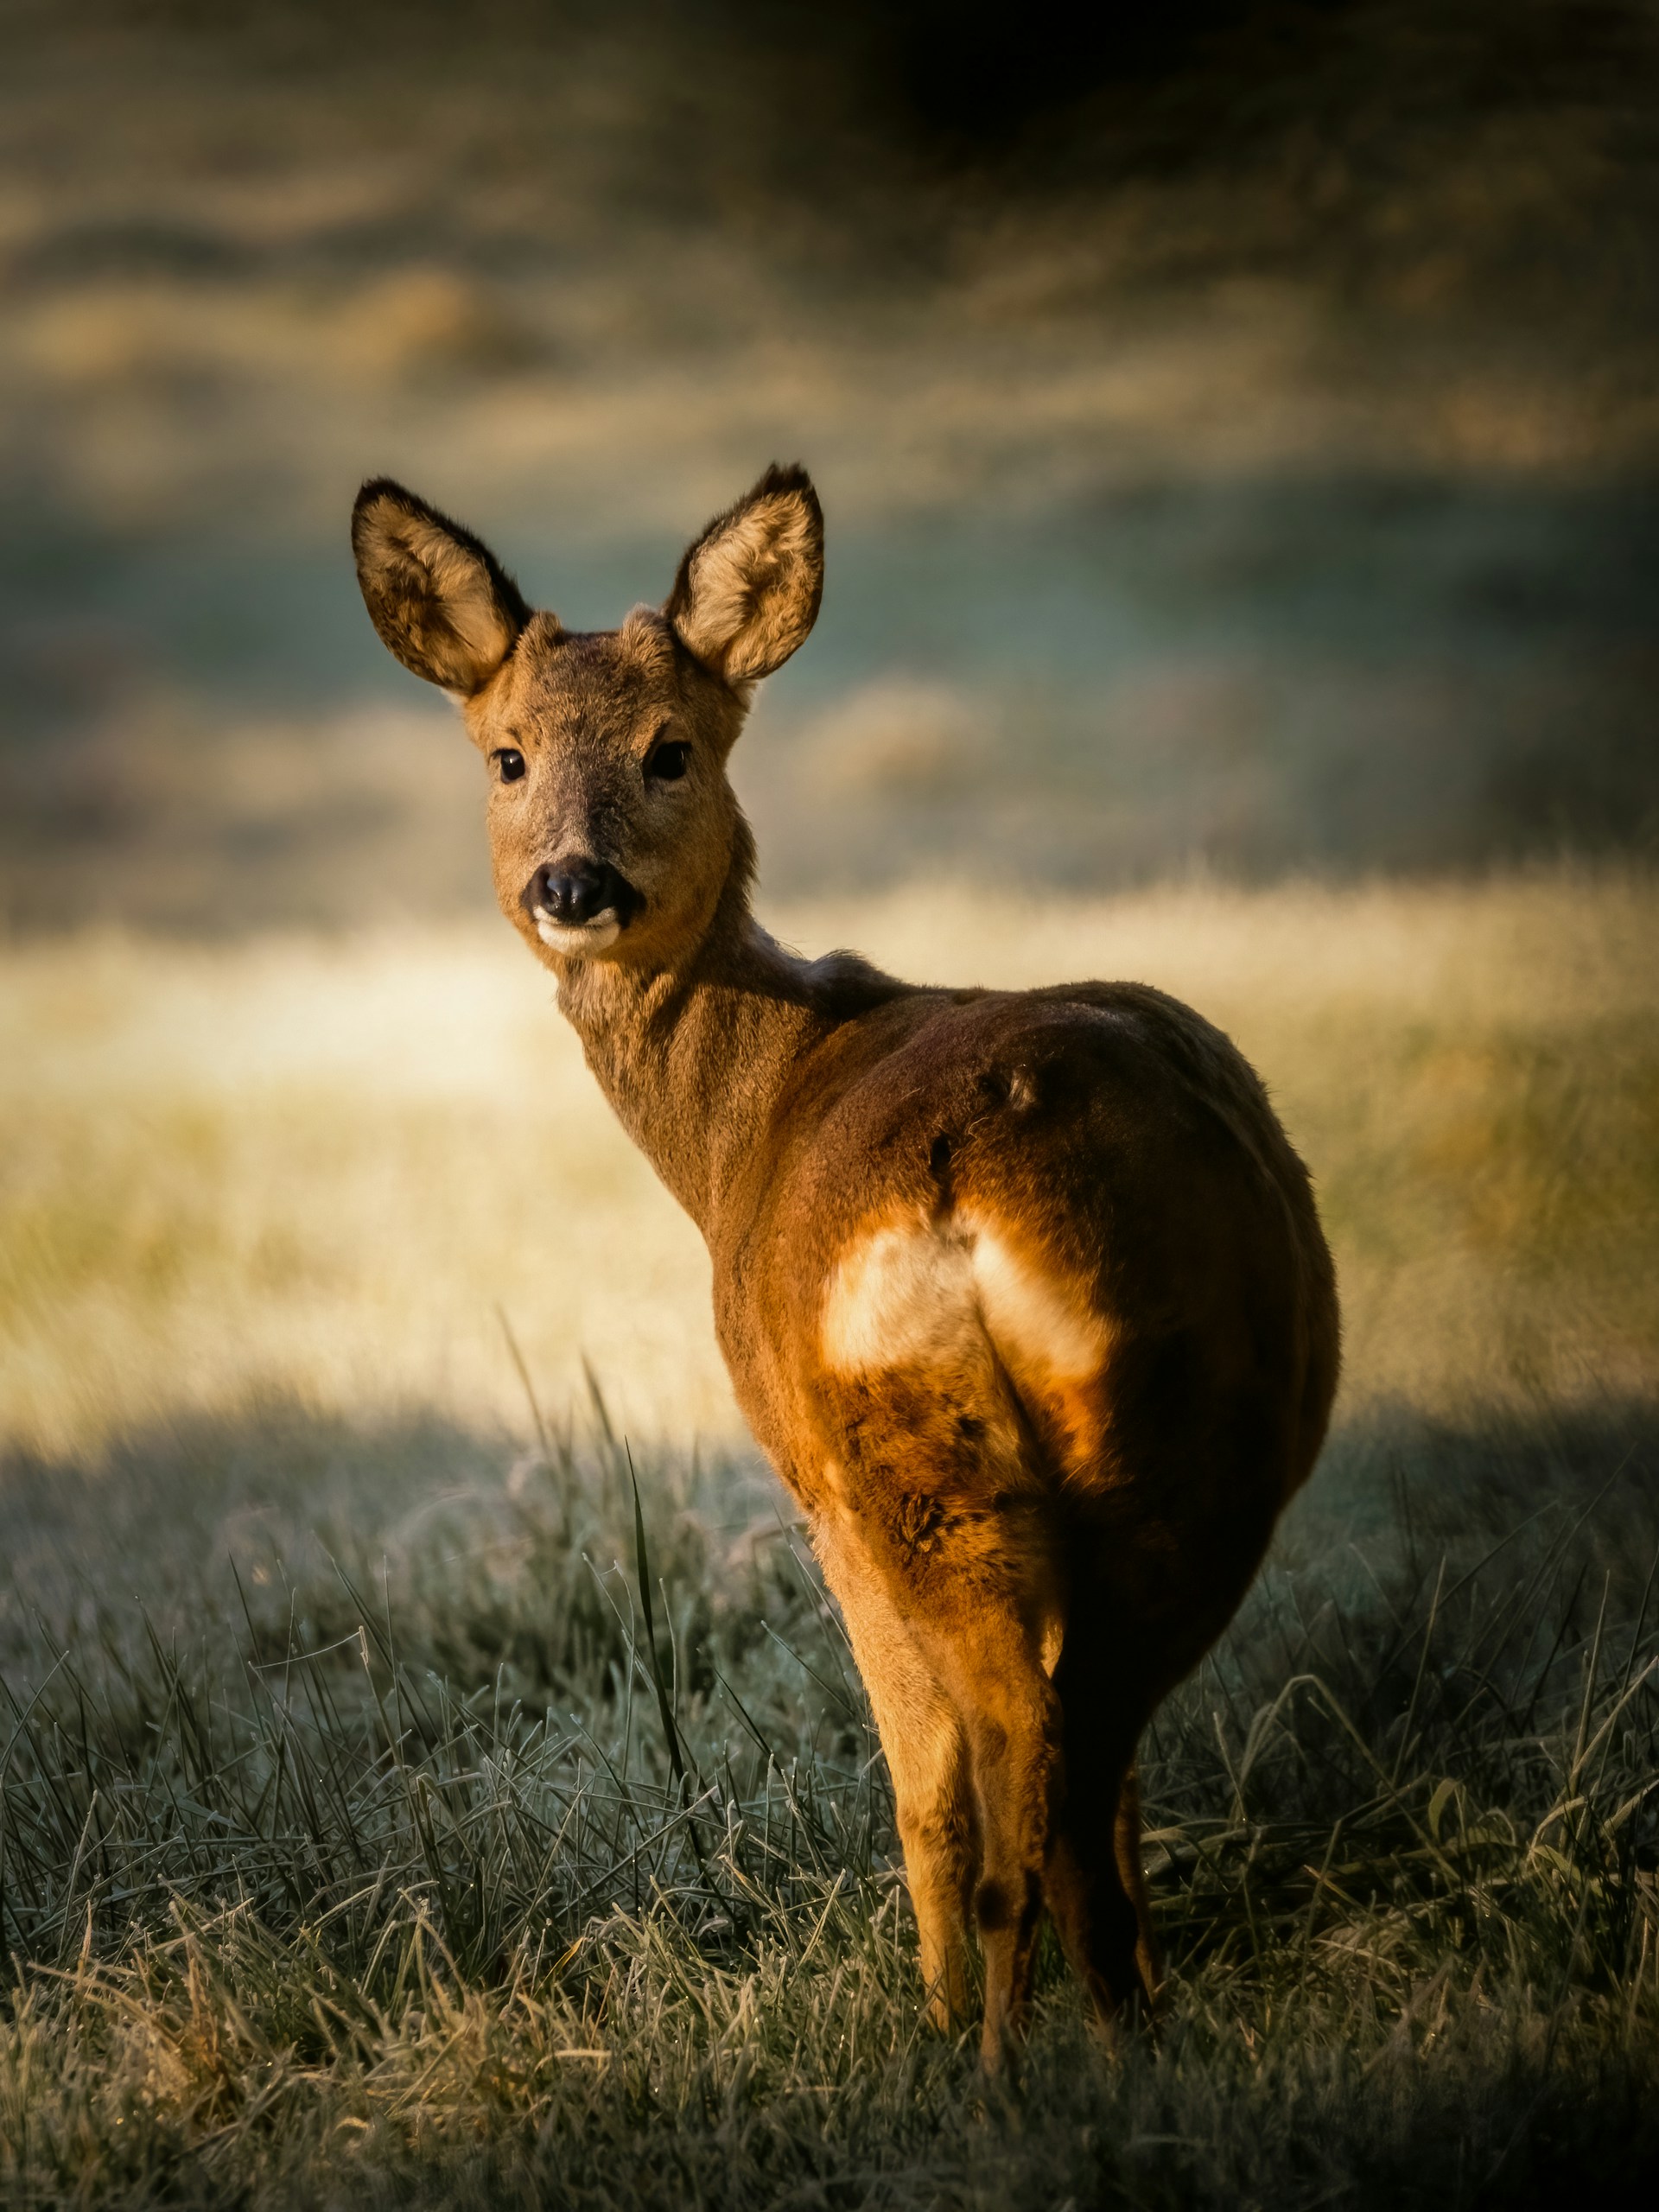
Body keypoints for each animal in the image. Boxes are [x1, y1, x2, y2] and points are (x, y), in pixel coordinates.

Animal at [351, 463, 1341, 2068]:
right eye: (507, 756)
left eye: (671, 748)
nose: (573, 882)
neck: (746, 1116)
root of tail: (972, 1192)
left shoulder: (800, 1475)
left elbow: (927, 1788)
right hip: (1168, 1455)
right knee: (1085, 1771)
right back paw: (1115, 2028)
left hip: (899, 1478)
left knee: (1002, 1789)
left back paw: (989, 2053)